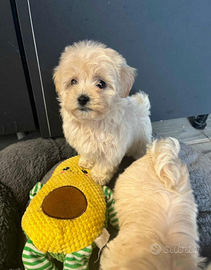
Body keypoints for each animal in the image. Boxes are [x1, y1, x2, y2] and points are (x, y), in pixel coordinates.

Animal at [52, 40, 152, 186]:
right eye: (73, 81)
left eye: (101, 83)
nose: (82, 98)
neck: (91, 122)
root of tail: (143, 105)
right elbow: (87, 152)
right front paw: (86, 162)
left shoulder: (112, 149)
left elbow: (105, 164)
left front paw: (98, 176)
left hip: (142, 138)